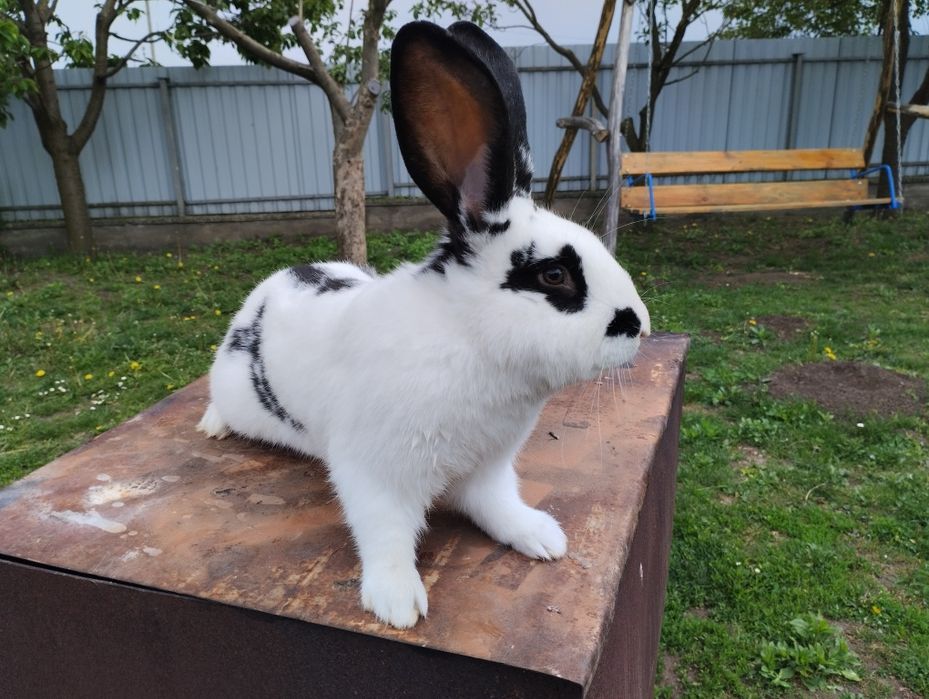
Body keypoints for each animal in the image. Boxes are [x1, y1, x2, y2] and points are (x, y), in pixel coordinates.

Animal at [197, 20, 650, 629]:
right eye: (554, 275)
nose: (640, 326)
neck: (469, 340)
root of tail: (269, 288)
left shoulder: (488, 468)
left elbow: (499, 506)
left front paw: (541, 537)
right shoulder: (374, 472)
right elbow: (385, 533)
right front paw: (397, 601)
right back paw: (213, 425)